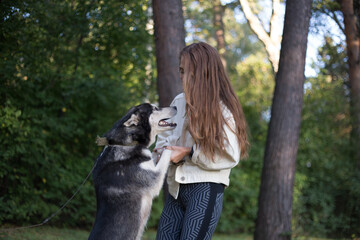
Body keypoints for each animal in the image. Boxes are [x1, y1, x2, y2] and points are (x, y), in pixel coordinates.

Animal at [88, 103, 176, 240]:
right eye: (155, 108)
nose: (176, 107)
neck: (126, 144)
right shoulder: (154, 178)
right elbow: (166, 152)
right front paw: (171, 141)